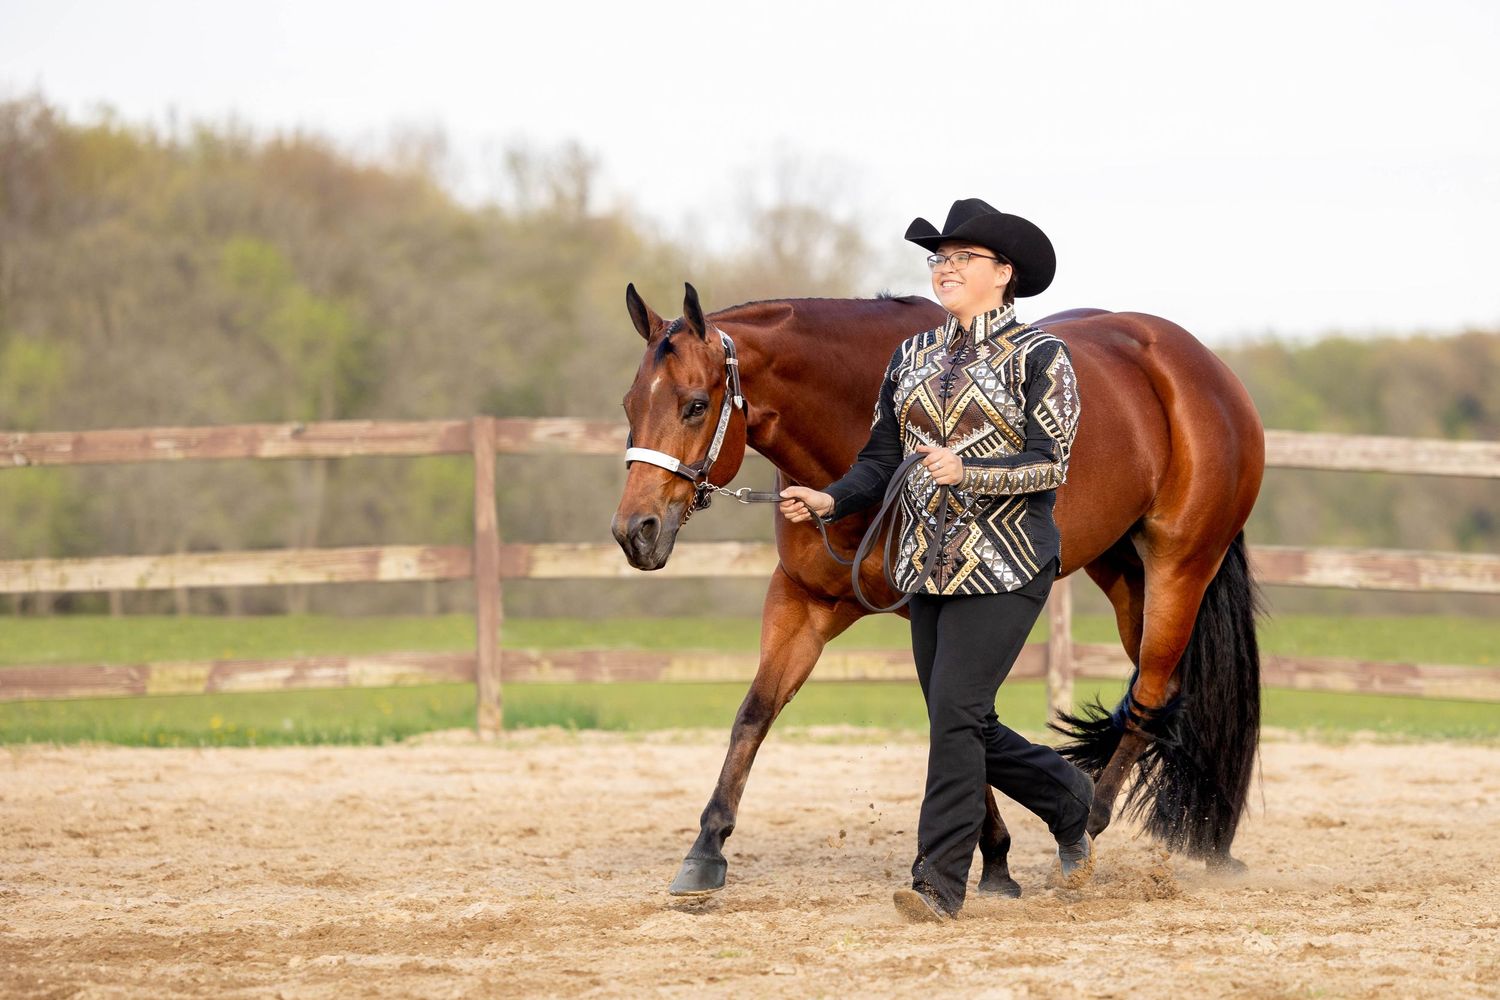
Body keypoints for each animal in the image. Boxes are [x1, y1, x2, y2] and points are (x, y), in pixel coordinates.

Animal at [612, 282, 1265, 897]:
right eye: (629, 404)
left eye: (696, 405)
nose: (634, 533)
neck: (851, 421)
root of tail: (1204, 370)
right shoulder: (804, 599)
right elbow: (755, 712)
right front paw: (705, 852)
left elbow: (955, 715)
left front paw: (992, 860)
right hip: (1123, 572)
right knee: (1162, 690)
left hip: (1179, 567)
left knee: (1150, 694)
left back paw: (1087, 827)